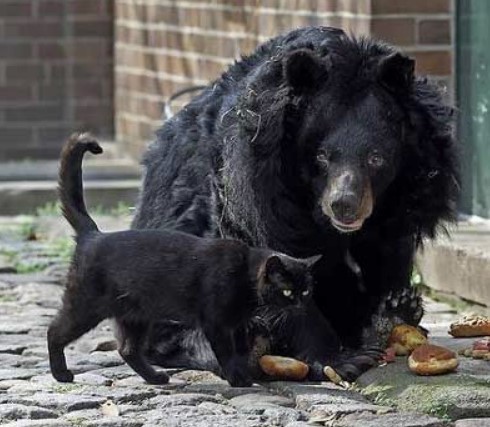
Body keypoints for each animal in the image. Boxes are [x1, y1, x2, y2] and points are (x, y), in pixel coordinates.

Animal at [47, 134, 320, 388]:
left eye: (306, 291)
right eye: (287, 291)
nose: (300, 304)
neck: (244, 273)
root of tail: (94, 234)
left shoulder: (238, 325)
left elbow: (241, 351)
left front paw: (244, 374)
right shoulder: (216, 324)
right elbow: (226, 353)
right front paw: (237, 379)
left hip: (136, 315)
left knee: (128, 349)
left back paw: (156, 377)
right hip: (86, 305)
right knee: (54, 331)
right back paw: (61, 374)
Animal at [131, 26, 460, 382]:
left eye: (376, 158)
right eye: (322, 156)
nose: (344, 205)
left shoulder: (407, 197)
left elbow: (385, 253)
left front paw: (388, 310)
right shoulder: (259, 187)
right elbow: (280, 261)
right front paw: (342, 360)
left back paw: (396, 312)